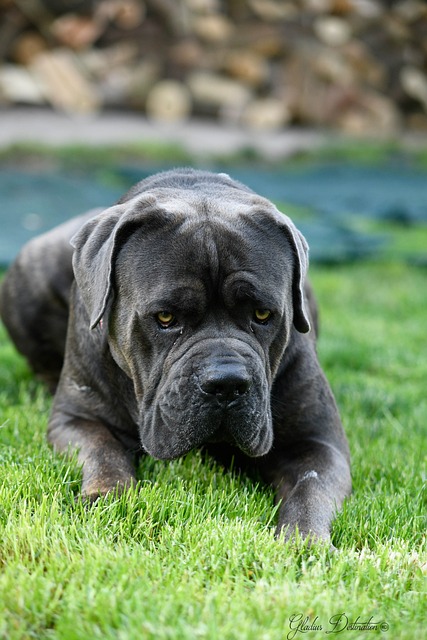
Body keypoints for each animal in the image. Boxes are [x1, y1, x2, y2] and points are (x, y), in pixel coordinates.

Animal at [0, 168, 352, 544]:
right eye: (166, 317)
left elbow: (310, 488)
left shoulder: (318, 443)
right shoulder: (77, 418)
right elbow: (103, 452)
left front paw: (304, 540)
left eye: (262, 314)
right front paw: (106, 498)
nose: (227, 383)